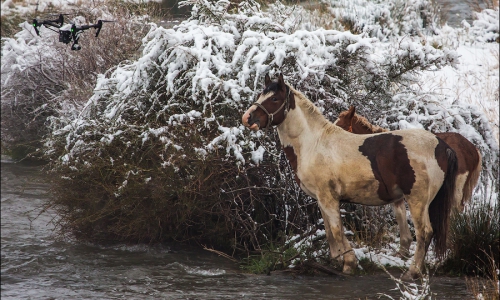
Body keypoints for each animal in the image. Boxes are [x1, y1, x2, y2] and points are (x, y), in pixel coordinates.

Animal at [242, 74, 458, 280]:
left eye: (274, 98)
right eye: (261, 95)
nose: (247, 118)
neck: (313, 144)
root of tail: (442, 145)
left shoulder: (328, 198)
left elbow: (337, 230)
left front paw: (349, 264)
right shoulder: (322, 198)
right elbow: (330, 231)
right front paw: (337, 261)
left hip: (417, 201)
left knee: (424, 233)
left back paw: (411, 273)